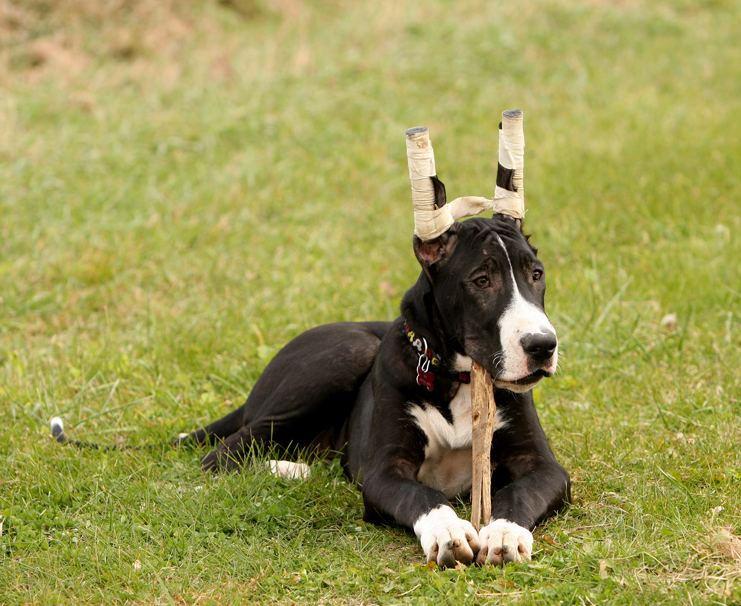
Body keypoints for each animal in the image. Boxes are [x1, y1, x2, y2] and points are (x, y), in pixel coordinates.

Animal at [52, 180, 568, 568]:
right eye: (481, 281)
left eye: (537, 274)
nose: (542, 345)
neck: (456, 378)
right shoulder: (383, 471)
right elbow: (422, 496)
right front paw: (446, 531)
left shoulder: (545, 467)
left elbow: (521, 493)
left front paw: (503, 533)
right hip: (343, 355)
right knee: (223, 453)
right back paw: (293, 468)